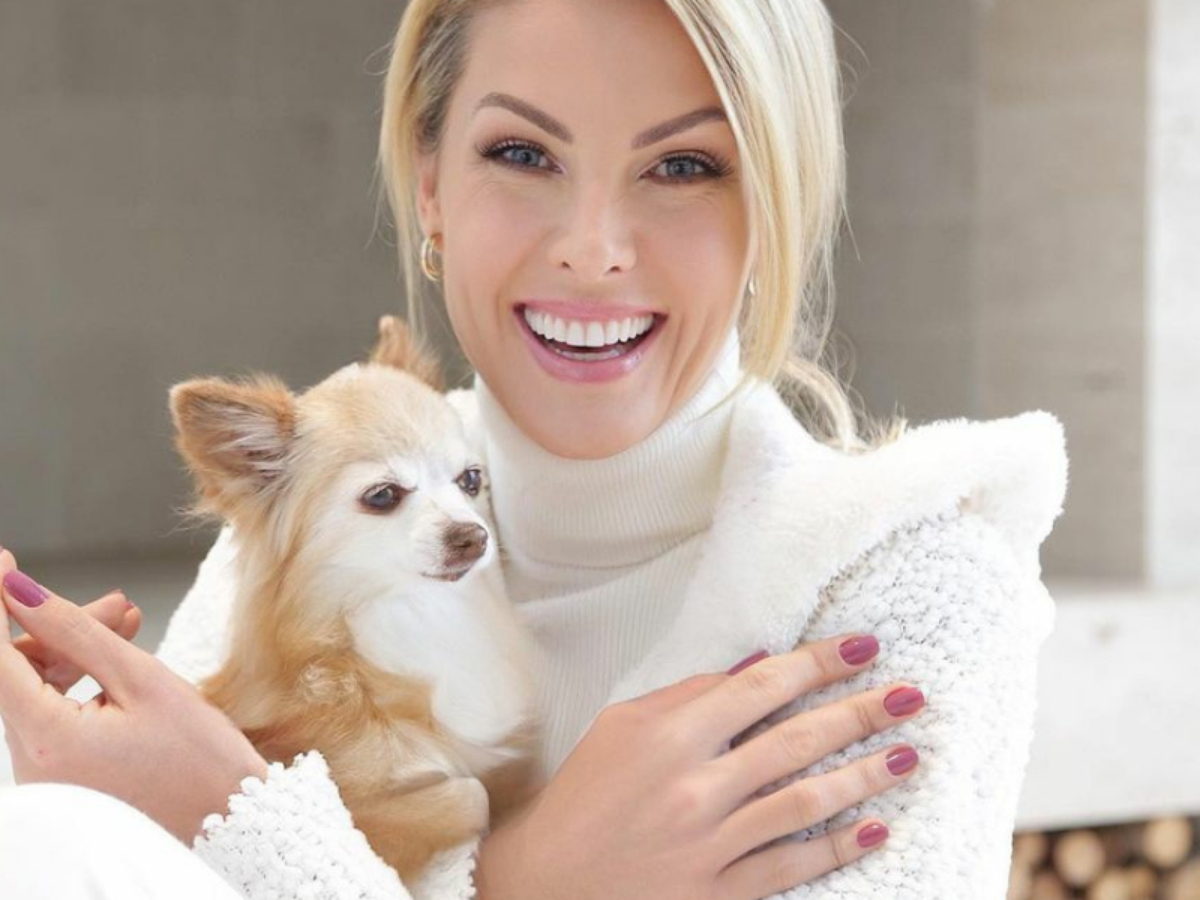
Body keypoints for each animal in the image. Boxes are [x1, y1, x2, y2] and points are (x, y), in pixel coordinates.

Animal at [168, 315, 543, 886]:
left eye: (471, 480)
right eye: (383, 495)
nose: (472, 536)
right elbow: (468, 793)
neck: (411, 617)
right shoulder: (359, 791)